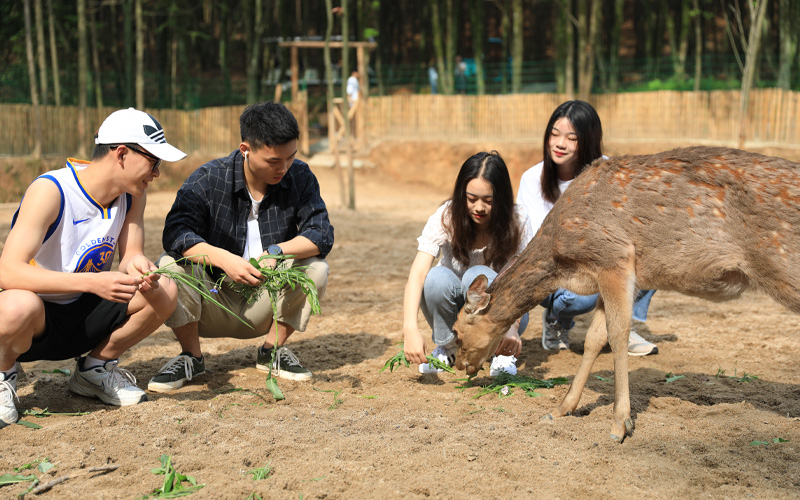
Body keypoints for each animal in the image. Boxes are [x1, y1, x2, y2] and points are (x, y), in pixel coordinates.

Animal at [450, 146, 800, 444]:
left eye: (456, 330)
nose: (459, 365)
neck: (563, 262)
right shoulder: (602, 277)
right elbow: (594, 338)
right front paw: (562, 408)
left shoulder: (614, 258)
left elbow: (618, 334)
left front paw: (620, 424)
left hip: (786, 266)